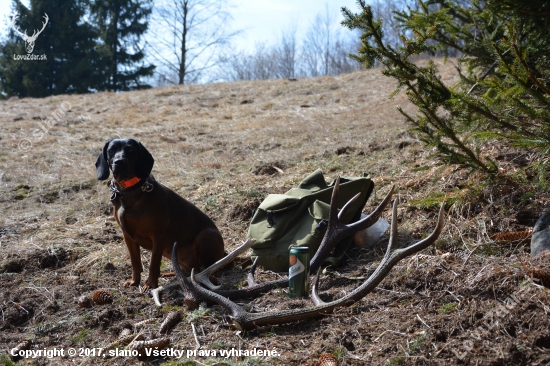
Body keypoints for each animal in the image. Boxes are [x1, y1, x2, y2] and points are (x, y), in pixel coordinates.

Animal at [95, 139, 226, 290]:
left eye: (131, 150)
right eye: (111, 150)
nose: (119, 162)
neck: (129, 191)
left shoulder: (158, 236)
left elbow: (153, 263)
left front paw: (151, 284)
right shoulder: (127, 236)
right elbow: (135, 262)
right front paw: (134, 281)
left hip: (205, 234)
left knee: (204, 268)